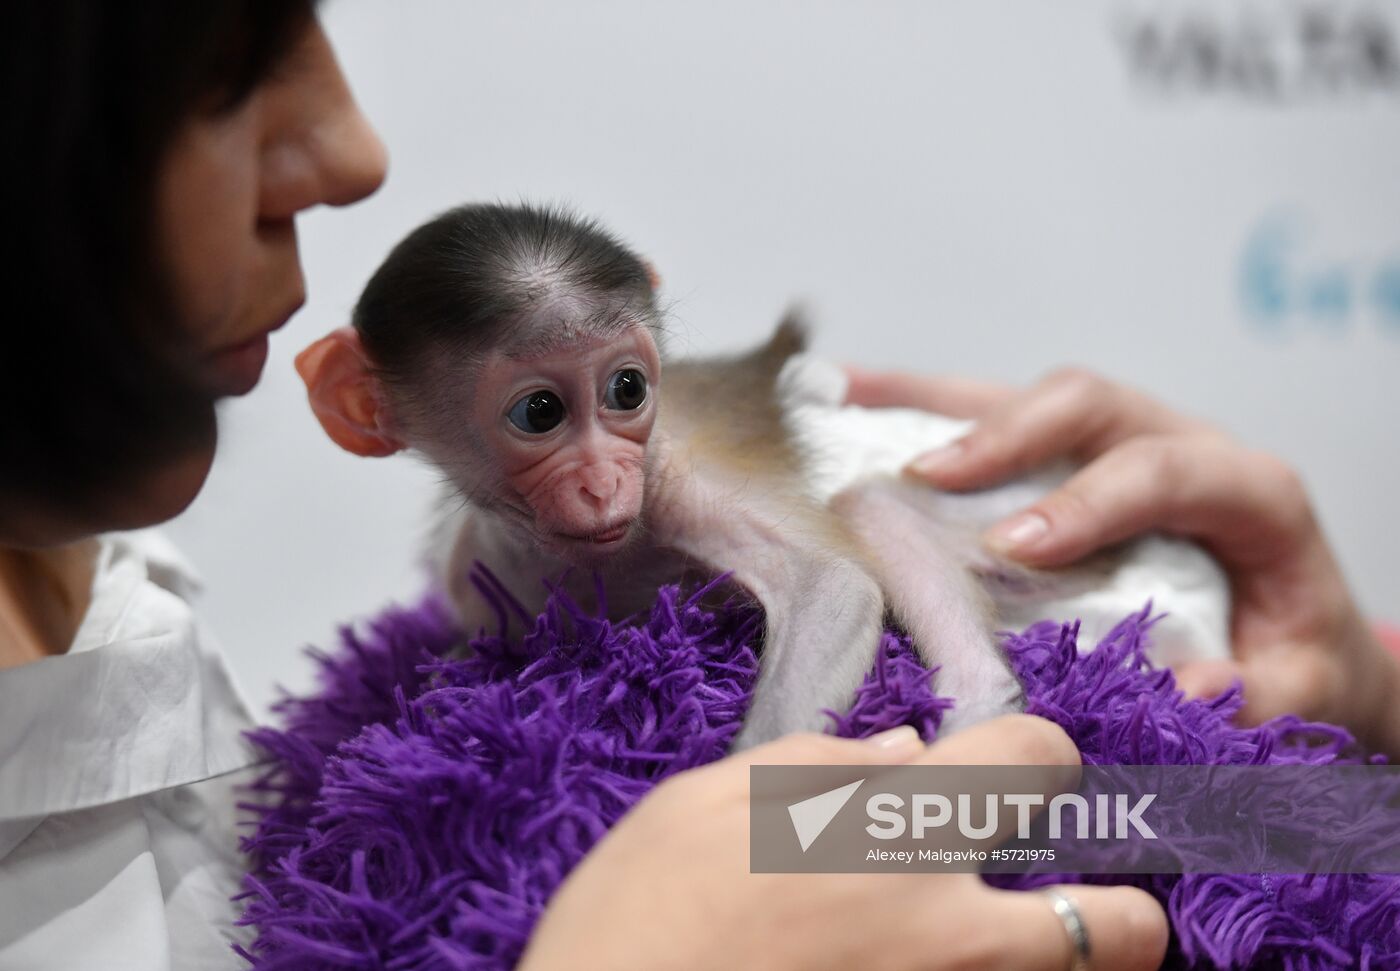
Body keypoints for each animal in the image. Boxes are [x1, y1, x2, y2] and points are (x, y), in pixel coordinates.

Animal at [301, 205, 1024, 749]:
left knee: (872, 507)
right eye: (540, 411)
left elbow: (833, 588)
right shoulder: (472, 566)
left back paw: (980, 702)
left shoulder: (675, 477)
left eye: (627, 389)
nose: (601, 483)